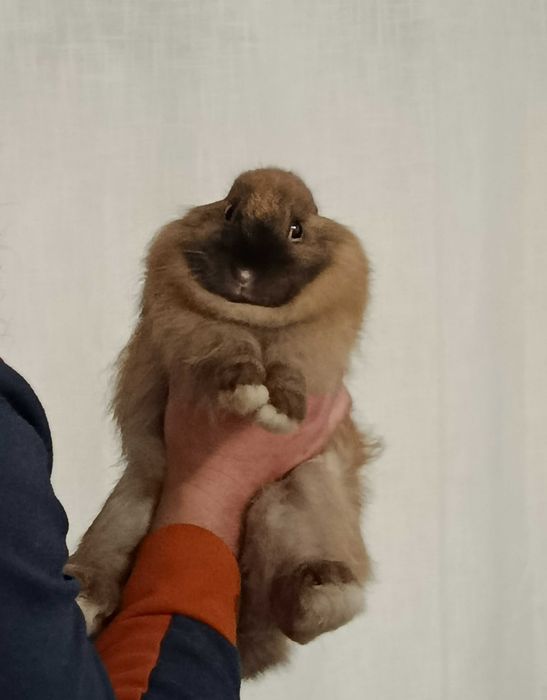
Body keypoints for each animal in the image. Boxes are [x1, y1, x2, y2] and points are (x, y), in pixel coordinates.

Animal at [65, 167, 375, 677]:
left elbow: (290, 366)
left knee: (294, 607)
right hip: (130, 505)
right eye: (229, 212)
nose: (246, 275)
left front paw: (279, 410)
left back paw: (319, 588)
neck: (253, 317)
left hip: (300, 501)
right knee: (107, 569)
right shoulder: (196, 328)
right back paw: (83, 598)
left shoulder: (313, 343)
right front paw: (248, 391)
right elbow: (229, 348)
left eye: (297, 229)